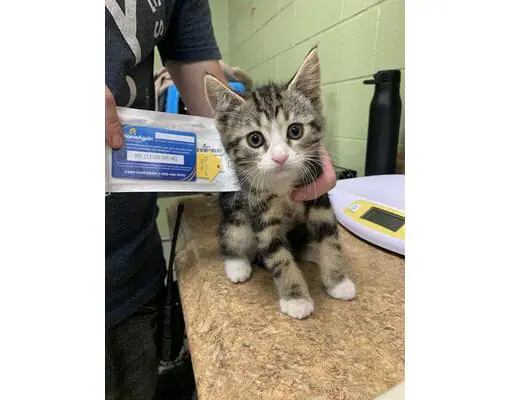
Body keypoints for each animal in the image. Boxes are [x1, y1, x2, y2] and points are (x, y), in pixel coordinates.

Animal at [203, 47, 354, 320]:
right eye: (254, 139)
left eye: (295, 131)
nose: (280, 157)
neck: (283, 186)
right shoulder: (258, 205)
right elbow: (276, 253)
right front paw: (296, 298)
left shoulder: (316, 190)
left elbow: (329, 236)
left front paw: (338, 281)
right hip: (236, 212)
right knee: (232, 233)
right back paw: (237, 264)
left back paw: (310, 251)